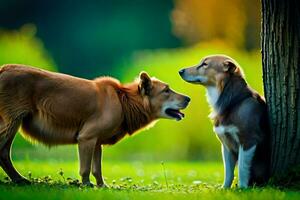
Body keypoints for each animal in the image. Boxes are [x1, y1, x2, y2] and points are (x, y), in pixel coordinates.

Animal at [0, 65, 190, 187]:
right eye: (166, 90)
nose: (189, 98)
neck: (124, 101)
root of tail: (4, 69)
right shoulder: (86, 137)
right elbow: (85, 168)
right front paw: (86, 185)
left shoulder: (96, 142)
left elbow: (96, 169)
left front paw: (102, 186)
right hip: (12, 122)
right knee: (3, 152)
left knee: (4, 153)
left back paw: (18, 180)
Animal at [178, 55, 270, 189]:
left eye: (205, 64)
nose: (180, 71)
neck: (233, 102)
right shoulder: (226, 145)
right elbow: (228, 171)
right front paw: (225, 188)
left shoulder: (248, 140)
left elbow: (242, 167)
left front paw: (242, 188)